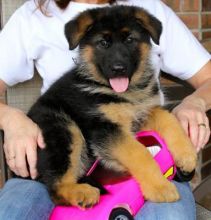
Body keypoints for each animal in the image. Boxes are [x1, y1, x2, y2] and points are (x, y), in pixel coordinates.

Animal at [27, 5, 197, 208]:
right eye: (103, 43)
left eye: (130, 40)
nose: (119, 68)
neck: (125, 93)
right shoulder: (106, 128)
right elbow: (139, 152)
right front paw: (160, 187)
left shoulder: (142, 115)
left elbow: (169, 120)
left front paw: (187, 154)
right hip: (63, 128)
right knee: (56, 188)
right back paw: (81, 192)